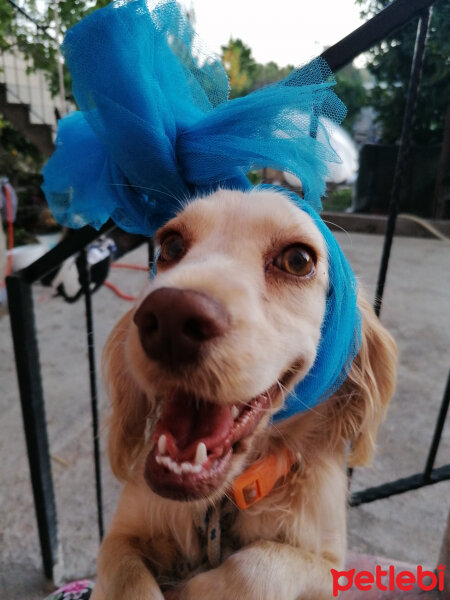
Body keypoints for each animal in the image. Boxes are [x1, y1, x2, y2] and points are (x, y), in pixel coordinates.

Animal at [92, 188, 398, 600]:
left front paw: (193, 589)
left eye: (298, 260)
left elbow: (257, 565)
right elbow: (128, 579)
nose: (170, 317)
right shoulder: (119, 536)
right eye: (171, 245)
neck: (218, 505)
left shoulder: (331, 564)